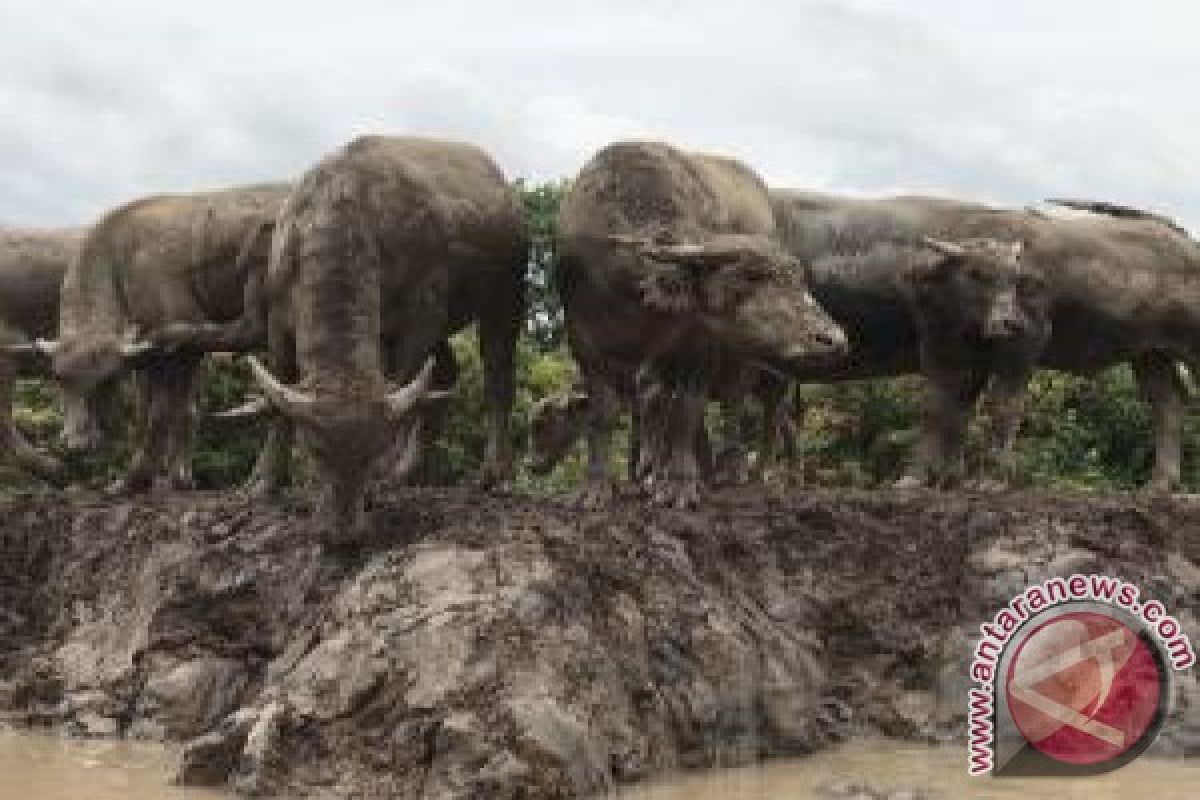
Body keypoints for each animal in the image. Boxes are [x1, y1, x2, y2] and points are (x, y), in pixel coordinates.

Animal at [238, 134, 525, 527]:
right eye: (315, 449)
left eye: (372, 450)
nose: (341, 526)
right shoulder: (278, 319)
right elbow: (279, 398)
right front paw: (264, 482)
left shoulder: (424, 312)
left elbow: (406, 382)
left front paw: (379, 481)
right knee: (448, 371)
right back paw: (411, 469)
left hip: (506, 294)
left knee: (498, 377)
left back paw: (495, 473)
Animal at [544, 141, 844, 510]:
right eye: (752, 278)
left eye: (798, 279)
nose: (833, 338)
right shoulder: (584, 341)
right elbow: (604, 413)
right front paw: (596, 488)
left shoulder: (701, 344)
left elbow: (687, 409)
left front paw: (679, 485)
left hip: (742, 362)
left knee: (734, 402)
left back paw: (732, 471)